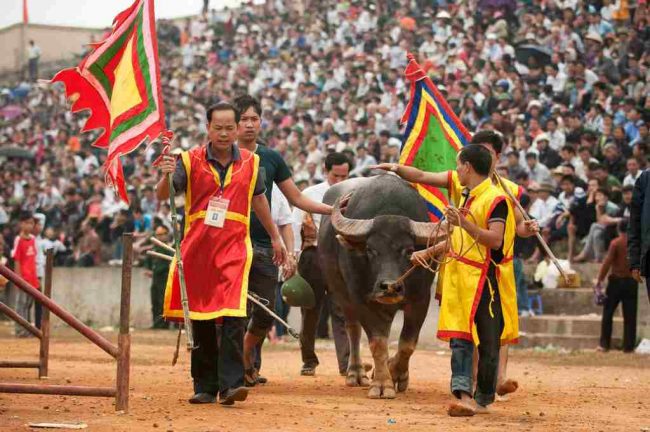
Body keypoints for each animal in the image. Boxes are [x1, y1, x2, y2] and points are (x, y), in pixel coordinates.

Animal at [316, 172, 442, 398]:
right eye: (371, 250)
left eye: (409, 250)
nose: (390, 287)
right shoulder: (362, 299)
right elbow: (377, 342)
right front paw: (382, 384)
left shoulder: (421, 299)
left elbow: (407, 344)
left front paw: (396, 373)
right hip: (340, 292)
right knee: (353, 329)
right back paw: (356, 373)